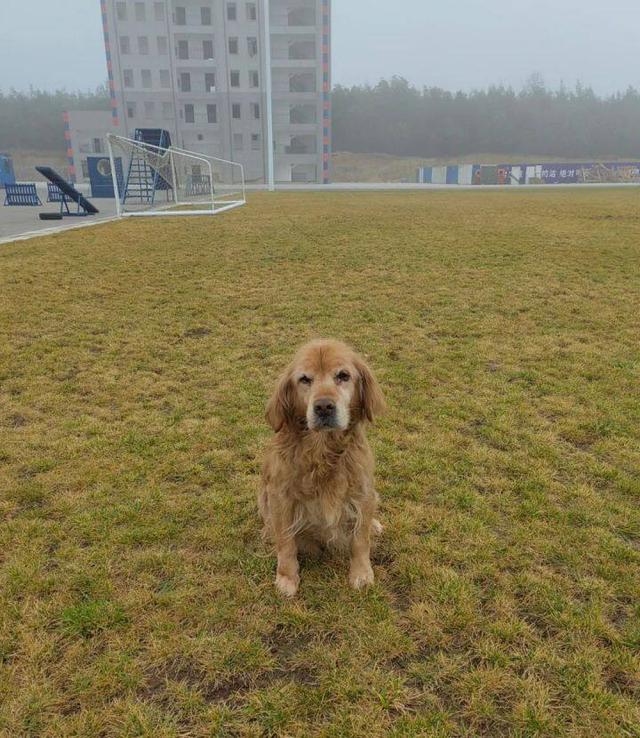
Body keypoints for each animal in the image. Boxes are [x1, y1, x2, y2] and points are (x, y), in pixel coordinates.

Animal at [258, 338, 384, 592]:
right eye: (305, 379)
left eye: (343, 376)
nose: (324, 407)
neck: (323, 450)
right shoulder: (279, 496)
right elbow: (286, 542)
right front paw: (287, 577)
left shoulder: (363, 490)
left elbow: (360, 539)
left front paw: (361, 573)